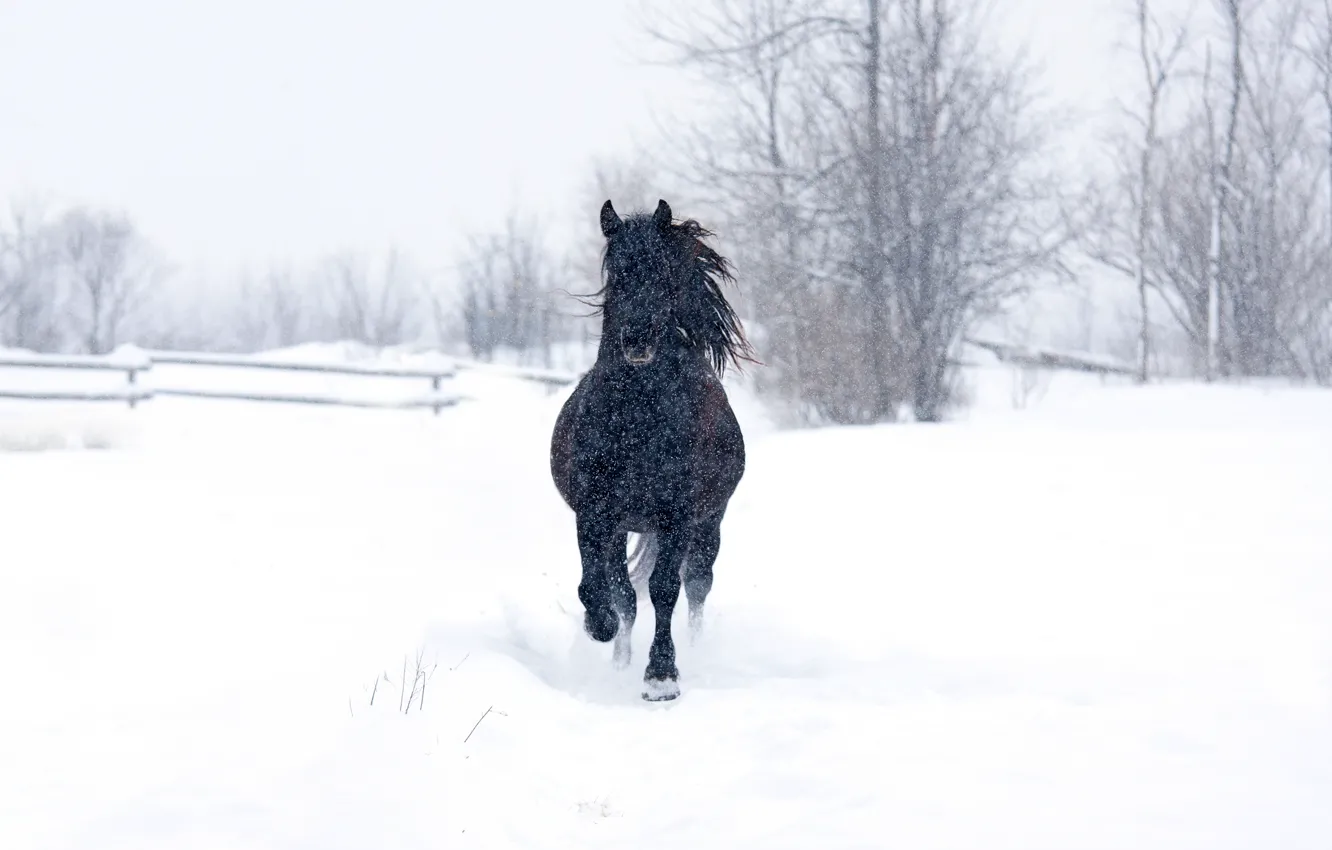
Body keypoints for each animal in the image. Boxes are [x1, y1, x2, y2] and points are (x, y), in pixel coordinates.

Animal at [549, 198, 757, 701]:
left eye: (663, 272)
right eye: (617, 271)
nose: (637, 338)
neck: (636, 420)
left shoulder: (677, 516)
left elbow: (664, 589)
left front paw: (662, 675)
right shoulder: (596, 514)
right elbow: (603, 591)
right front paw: (600, 628)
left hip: (709, 524)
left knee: (697, 584)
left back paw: (696, 649)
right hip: (624, 526)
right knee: (625, 594)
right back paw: (620, 658)